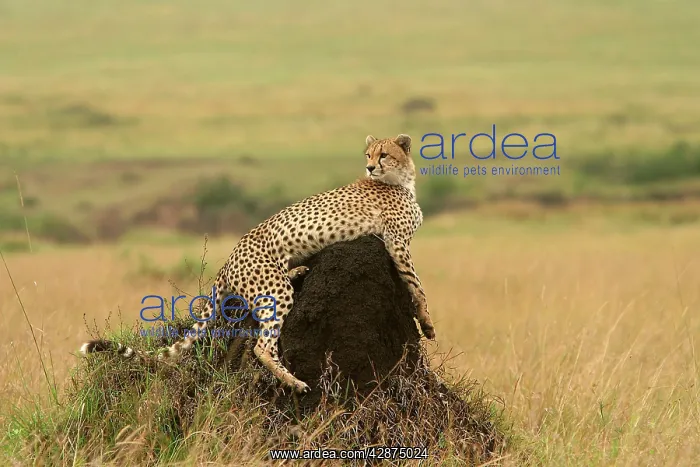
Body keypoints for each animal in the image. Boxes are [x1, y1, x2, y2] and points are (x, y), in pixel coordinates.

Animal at [80, 133, 436, 394]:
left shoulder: (395, 242)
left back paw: (298, 273)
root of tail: (229, 259)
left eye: (383, 155)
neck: (400, 180)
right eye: (368, 155)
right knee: (261, 347)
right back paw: (294, 381)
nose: (371, 168)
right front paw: (427, 322)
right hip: (275, 292)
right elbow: (417, 286)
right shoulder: (397, 243)